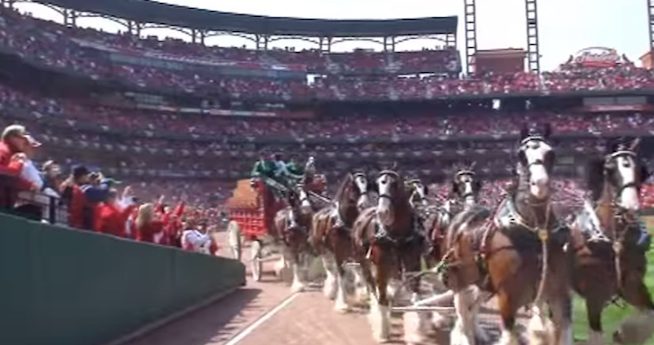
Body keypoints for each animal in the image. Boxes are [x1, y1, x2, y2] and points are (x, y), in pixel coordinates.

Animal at [312, 172, 374, 312]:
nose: (364, 205)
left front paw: (363, 295)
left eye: (368, 187)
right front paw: (342, 304)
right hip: (323, 249)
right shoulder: (338, 253)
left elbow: (360, 271)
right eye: (353, 187)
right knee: (330, 269)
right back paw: (330, 290)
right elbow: (341, 275)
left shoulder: (357, 253)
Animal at [352, 169, 428, 342]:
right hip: (364, 261)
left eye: (395, 184)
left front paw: (416, 332)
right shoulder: (382, 267)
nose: (383, 212)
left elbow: (415, 296)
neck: (398, 235)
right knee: (372, 287)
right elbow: (382, 298)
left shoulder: (413, 265)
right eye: (377, 184)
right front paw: (382, 331)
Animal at [446, 124, 576, 344]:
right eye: (521, 155)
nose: (540, 184)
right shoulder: (507, 298)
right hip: (460, 280)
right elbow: (509, 335)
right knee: (463, 313)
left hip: (483, 284)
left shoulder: (558, 293)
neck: (536, 234)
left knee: (472, 310)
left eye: (550, 153)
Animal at [572, 138, 652, 344]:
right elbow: (596, 335)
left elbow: (648, 318)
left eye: (642, 169)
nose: (630, 206)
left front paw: (622, 335)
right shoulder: (594, 294)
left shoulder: (633, 284)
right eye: (609, 169)